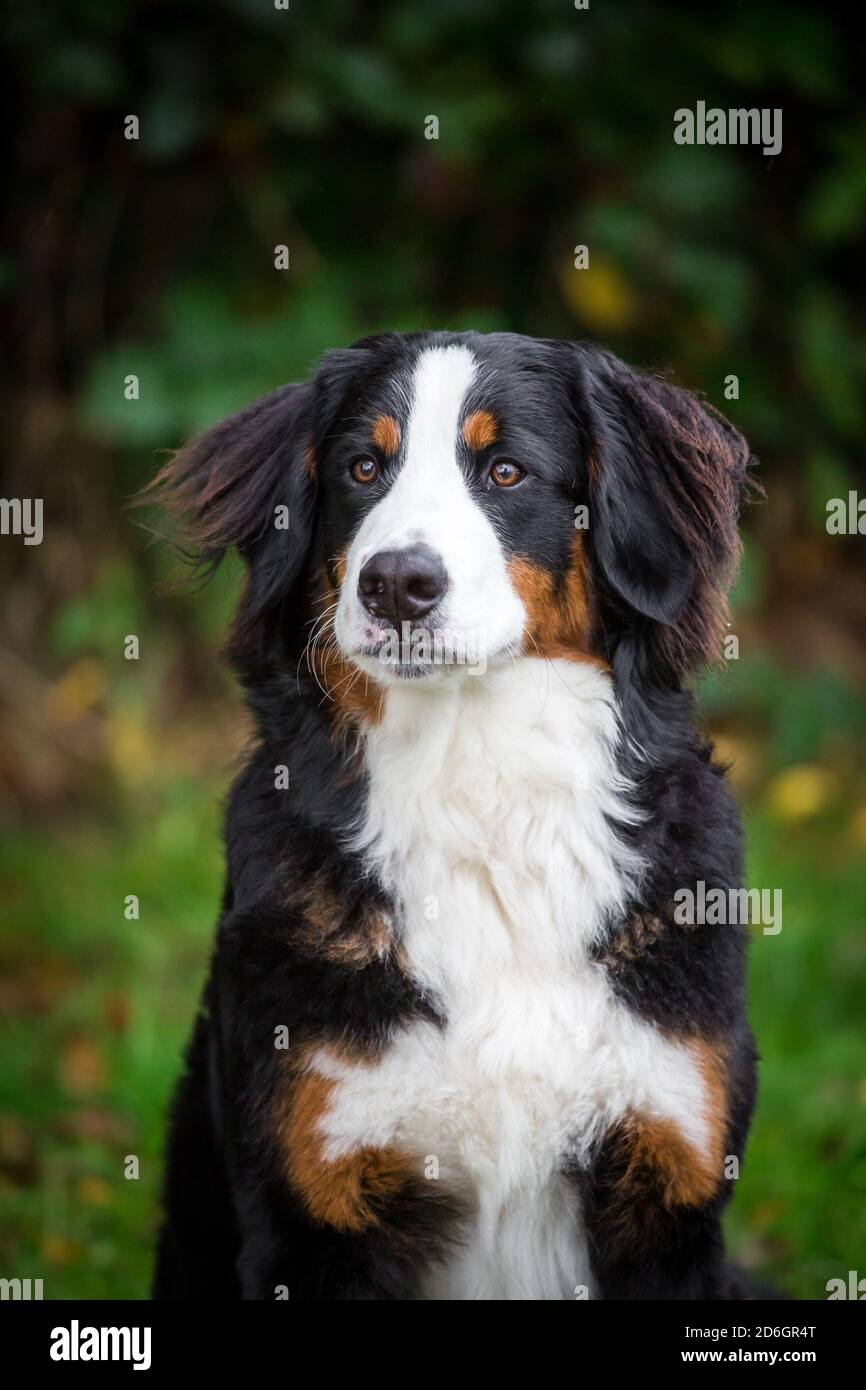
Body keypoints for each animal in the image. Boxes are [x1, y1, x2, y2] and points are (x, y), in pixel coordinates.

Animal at [150, 328, 756, 1301]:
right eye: (362, 468)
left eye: (507, 471)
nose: (397, 582)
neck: (479, 796)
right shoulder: (315, 1203)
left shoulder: (668, 1176)